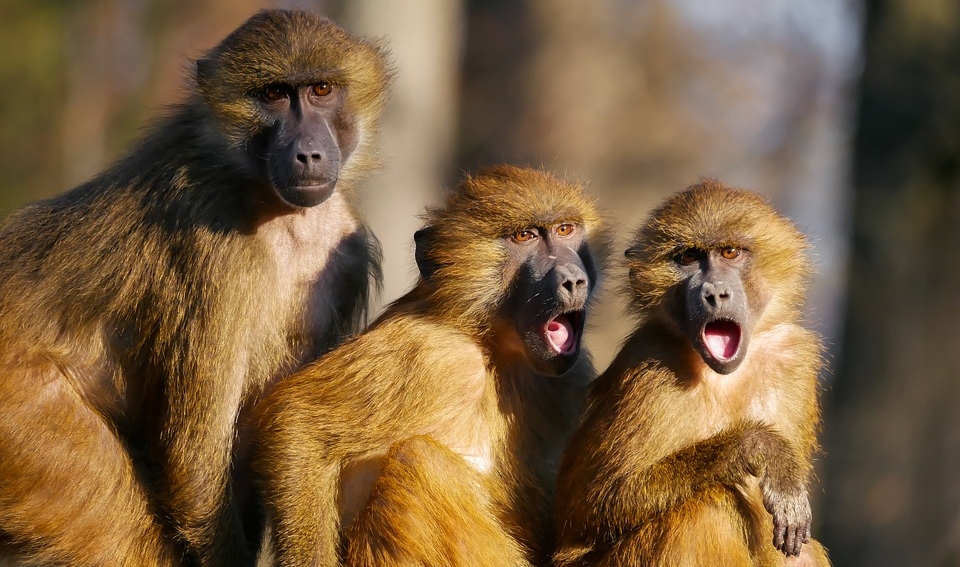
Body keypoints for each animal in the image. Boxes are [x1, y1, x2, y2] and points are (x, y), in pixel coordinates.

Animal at [0, 10, 390, 567]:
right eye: (273, 94)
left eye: (321, 90)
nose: (308, 154)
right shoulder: (216, 250)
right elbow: (196, 459)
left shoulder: (347, 257)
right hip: (24, 417)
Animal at [252, 165, 610, 567]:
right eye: (525, 236)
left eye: (565, 229)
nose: (573, 279)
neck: (492, 346)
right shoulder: (433, 354)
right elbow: (297, 421)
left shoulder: (571, 376)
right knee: (418, 462)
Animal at [553, 181, 831, 567]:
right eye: (687, 258)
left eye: (730, 252)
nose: (714, 293)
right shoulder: (650, 366)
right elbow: (595, 503)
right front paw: (762, 449)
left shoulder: (793, 357)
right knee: (705, 510)